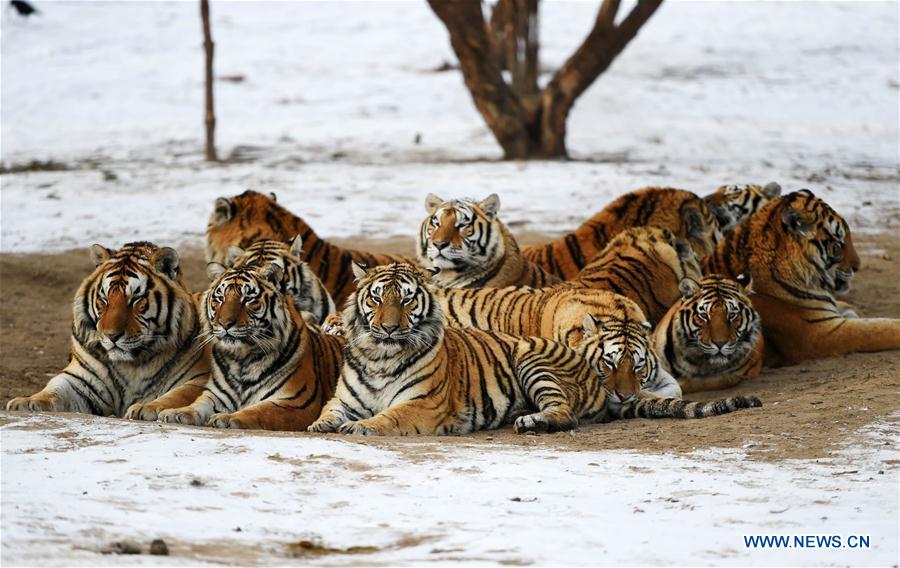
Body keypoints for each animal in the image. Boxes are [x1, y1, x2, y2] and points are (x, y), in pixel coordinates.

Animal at [6, 242, 209, 418]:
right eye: (104, 299)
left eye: (136, 300)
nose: (112, 336)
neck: (132, 365)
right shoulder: (81, 379)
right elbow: (54, 388)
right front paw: (26, 402)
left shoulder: (199, 378)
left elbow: (178, 394)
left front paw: (146, 407)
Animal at [157, 261, 344, 431]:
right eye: (220, 298)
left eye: (248, 299)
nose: (225, 323)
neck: (241, 359)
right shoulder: (215, 395)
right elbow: (197, 405)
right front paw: (175, 412)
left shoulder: (295, 403)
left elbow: (259, 411)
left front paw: (226, 417)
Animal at [307, 263, 761, 436]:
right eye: (377, 297)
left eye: (405, 299)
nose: (388, 327)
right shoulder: (343, 399)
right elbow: (328, 413)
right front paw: (321, 425)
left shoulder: (423, 405)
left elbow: (389, 417)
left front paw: (363, 426)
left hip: (532, 361)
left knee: (564, 413)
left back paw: (532, 421)